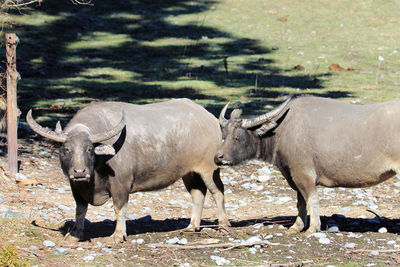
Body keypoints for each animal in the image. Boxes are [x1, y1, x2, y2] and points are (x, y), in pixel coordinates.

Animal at [27, 99, 228, 244]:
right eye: (66, 149)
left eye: (90, 149)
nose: (79, 171)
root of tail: (211, 120)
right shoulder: (75, 187)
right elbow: (80, 209)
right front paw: (76, 233)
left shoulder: (121, 185)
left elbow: (119, 209)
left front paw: (118, 235)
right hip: (189, 172)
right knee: (198, 193)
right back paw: (192, 226)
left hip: (209, 169)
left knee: (218, 192)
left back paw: (223, 225)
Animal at [217, 96, 400, 234]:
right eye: (223, 135)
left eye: (237, 138)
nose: (219, 157)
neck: (282, 130)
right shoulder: (292, 174)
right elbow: (300, 202)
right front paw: (296, 226)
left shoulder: (303, 173)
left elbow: (311, 199)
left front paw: (313, 228)